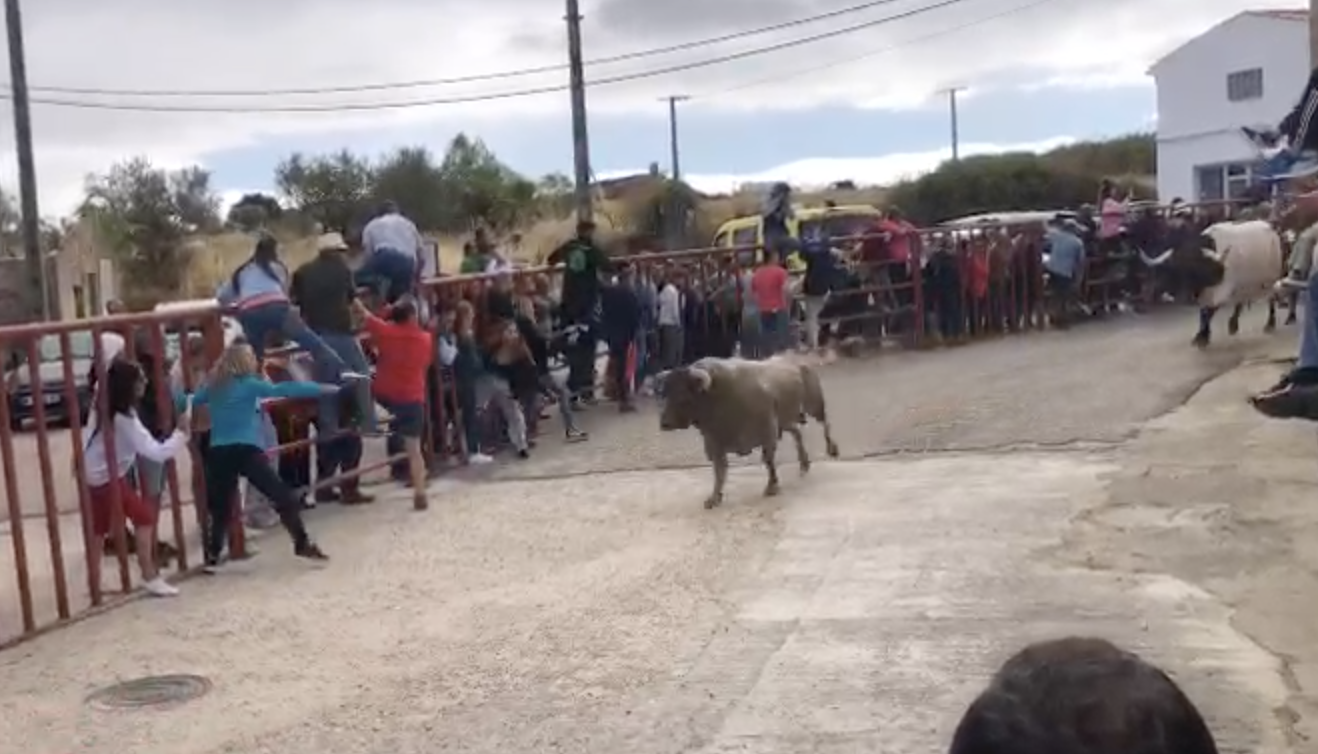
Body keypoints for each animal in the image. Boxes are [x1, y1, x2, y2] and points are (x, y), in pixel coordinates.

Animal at [656, 355, 832, 508]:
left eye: (683, 396)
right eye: (665, 394)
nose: (664, 423)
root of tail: (798, 361)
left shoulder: (768, 433)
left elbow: (768, 460)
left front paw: (772, 486)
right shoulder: (714, 442)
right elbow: (719, 471)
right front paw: (714, 497)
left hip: (814, 404)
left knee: (825, 424)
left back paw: (832, 449)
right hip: (786, 419)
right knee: (797, 432)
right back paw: (804, 464)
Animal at [1138, 217, 1281, 348]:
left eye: (1195, 270)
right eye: (1176, 270)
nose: (1183, 298)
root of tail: (1269, 227)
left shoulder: (1221, 291)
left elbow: (1209, 312)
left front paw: (1202, 337)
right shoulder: (1205, 294)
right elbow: (1203, 313)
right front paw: (1201, 335)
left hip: (1271, 279)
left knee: (1271, 298)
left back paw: (1270, 324)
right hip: (1244, 284)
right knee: (1240, 301)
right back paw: (1233, 324)